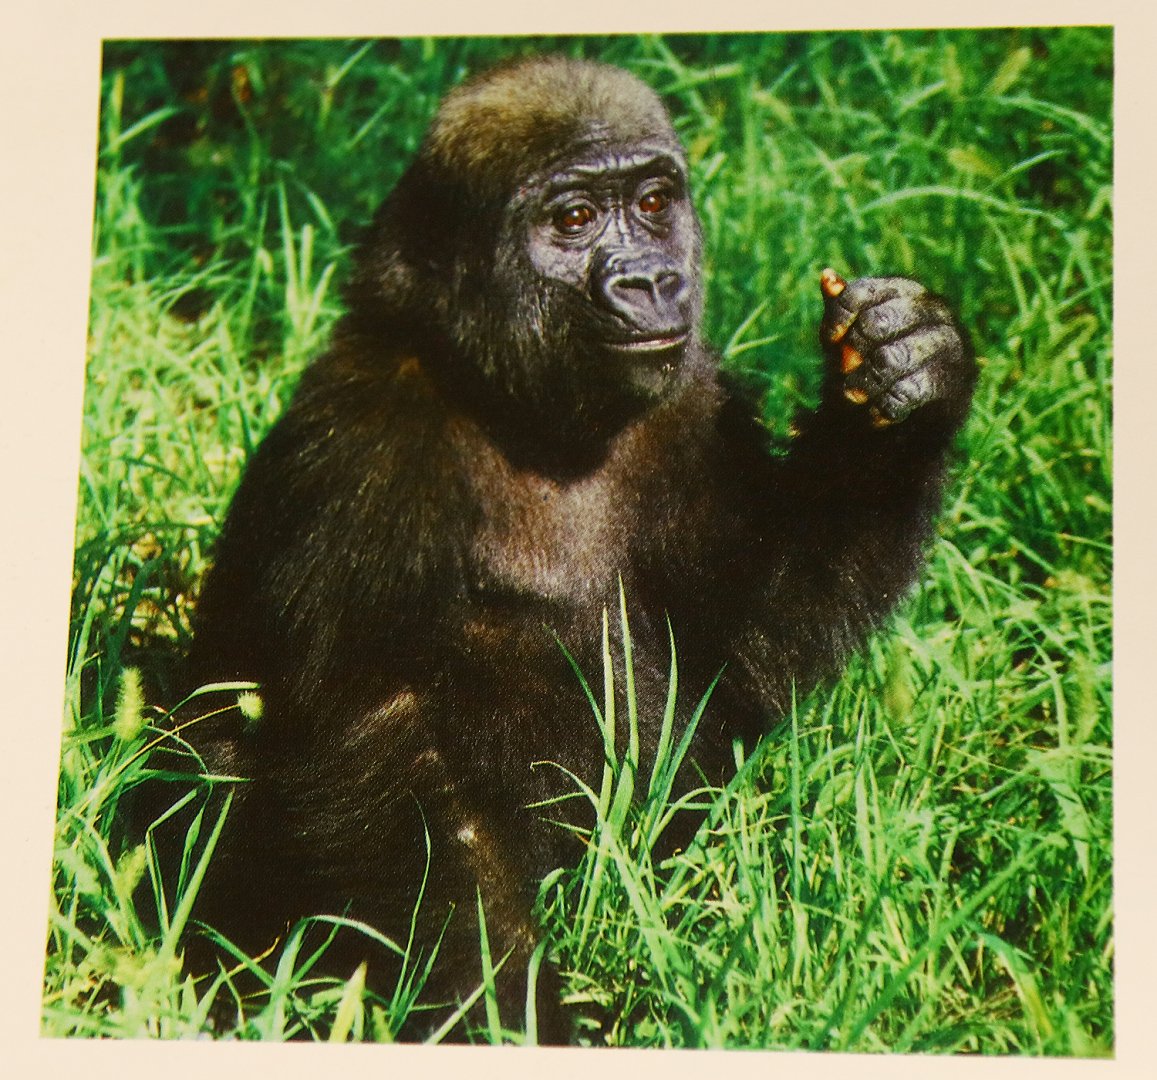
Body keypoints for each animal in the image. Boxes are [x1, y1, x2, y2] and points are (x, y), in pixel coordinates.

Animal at [174, 55, 975, 1041]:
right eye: (573, 220)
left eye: (653, 202)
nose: (651, 281)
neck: (504, 395)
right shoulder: (363, 449)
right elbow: (381, 750)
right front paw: (501, 1006)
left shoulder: (691, 398)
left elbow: (756, 631)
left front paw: (908, 368)